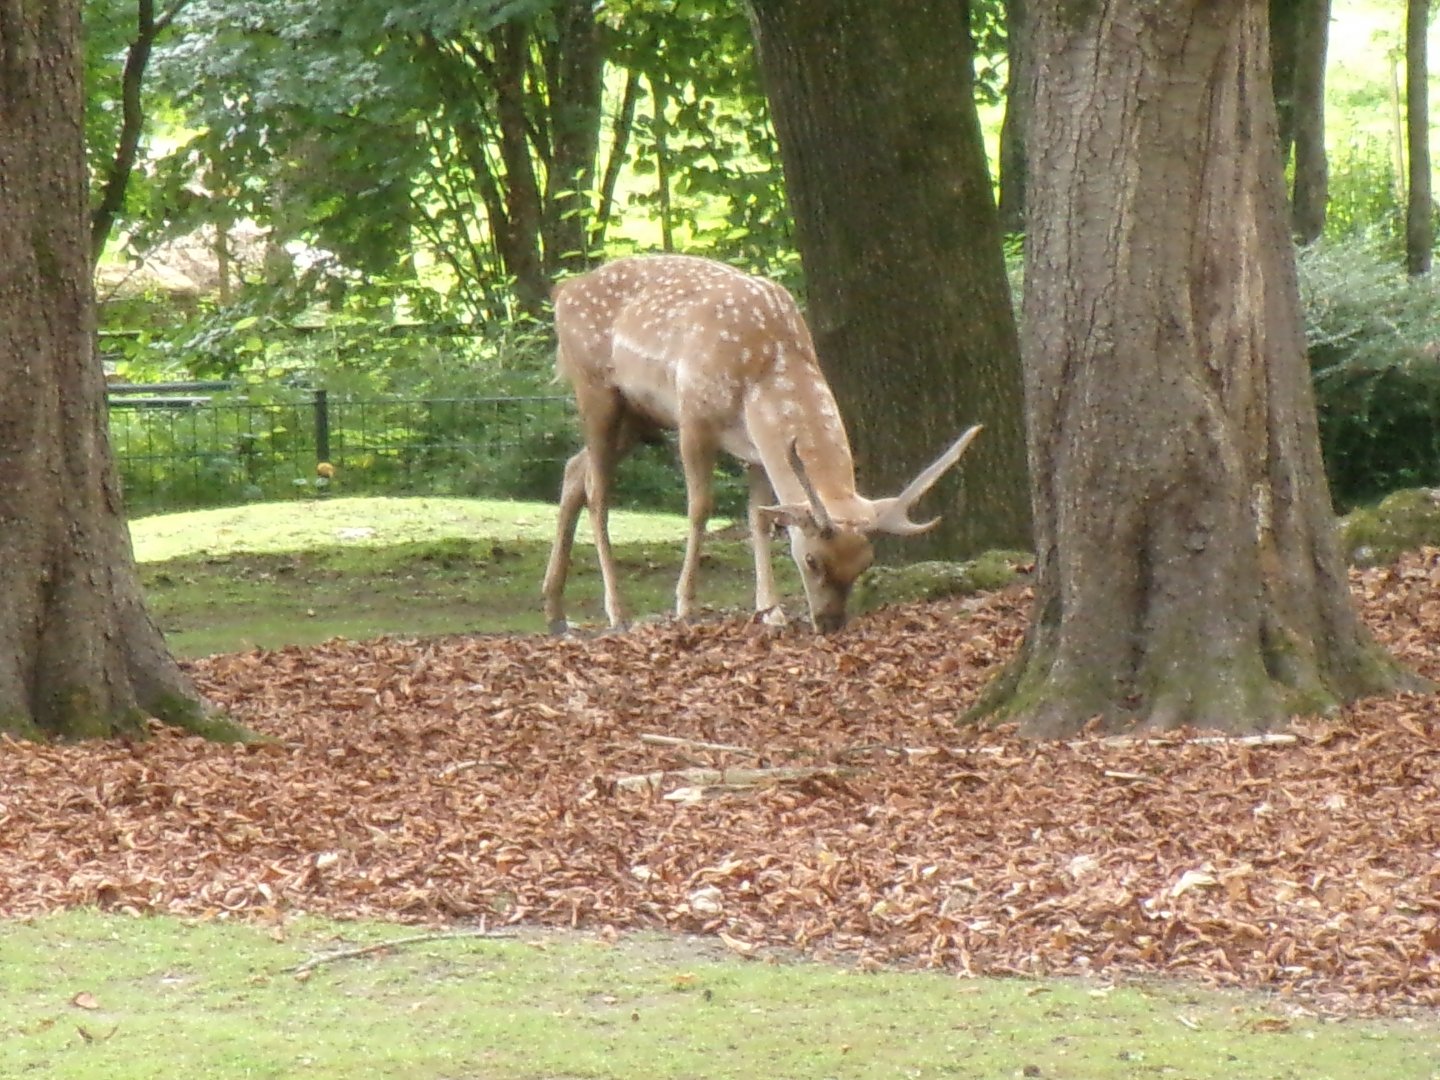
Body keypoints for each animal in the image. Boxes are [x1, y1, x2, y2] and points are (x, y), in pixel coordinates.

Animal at [541, 253, 982, 635]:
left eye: (865, 563)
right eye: (812, 560)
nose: (831, 624)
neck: (767, 370)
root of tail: (563, 292)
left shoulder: (756, 449)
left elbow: (760, 518)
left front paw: (771, 611)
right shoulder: (693, 415)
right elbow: (700, 508)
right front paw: (685, 606)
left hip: (639, 414)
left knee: (573, 469)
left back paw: (555, 610)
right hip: (596, 388)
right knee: (597, 488)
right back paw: (617, 612)